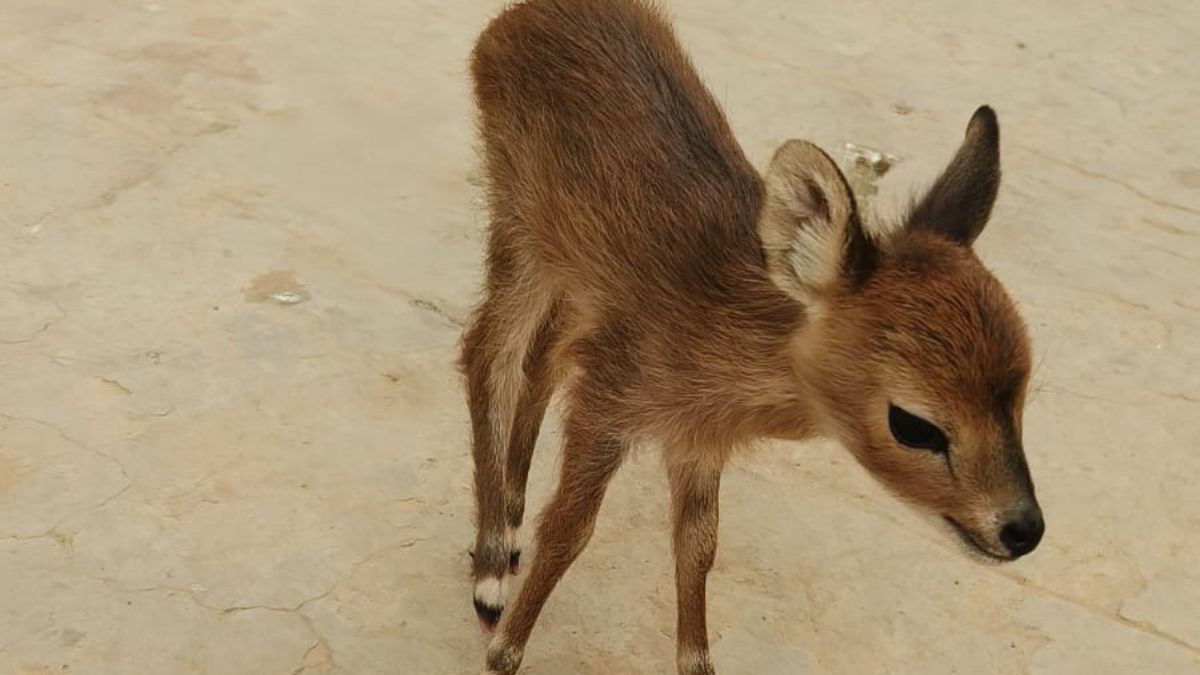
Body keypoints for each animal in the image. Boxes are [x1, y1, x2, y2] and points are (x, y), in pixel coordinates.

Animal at [459, 1, 1044, 673]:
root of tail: (512, 19)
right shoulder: (610, 400)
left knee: (540, 356)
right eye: (913, 424)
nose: (1023, 530)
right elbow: (570, 528)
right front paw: (504, 651)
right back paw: (490, 571)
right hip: (518, 217)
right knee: (488, 352)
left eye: (1023, 390)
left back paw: (510, 519)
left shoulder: (695, 439)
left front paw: (698, 661)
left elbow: (699, 546)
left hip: (566, 271)